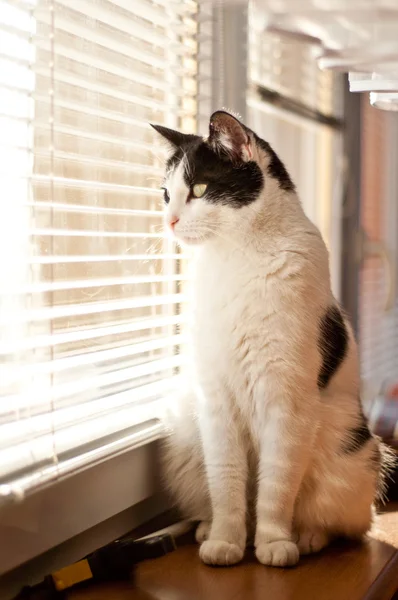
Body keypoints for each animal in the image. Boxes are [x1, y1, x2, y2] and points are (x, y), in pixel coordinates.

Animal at [150, 111, 392, 568]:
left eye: (200, 189)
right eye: (166, 194)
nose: (169, 221)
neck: (234, 257)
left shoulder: (286, 399)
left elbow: (276, 485)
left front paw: (274, 543)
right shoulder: (217, 402)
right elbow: (226, 484)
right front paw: (225, 541)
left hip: (348, 451)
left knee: (345, 524)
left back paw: (306, 536)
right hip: (186, 437)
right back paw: (209, 527)